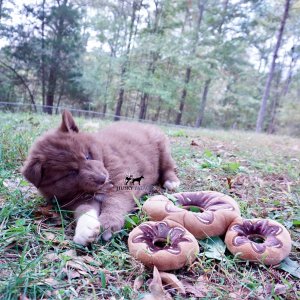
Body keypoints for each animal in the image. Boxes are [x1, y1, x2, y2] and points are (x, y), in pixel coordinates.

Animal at [22, 111, 180, 245]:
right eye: (70, 173)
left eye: (87, 156)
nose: (102, 178)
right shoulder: (72, 199)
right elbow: (84, 208)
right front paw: (86, 228)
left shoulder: (122, 180)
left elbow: (115, 201)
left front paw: (109, 223)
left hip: (163, 148)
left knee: (168, 166)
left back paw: (171, 181)